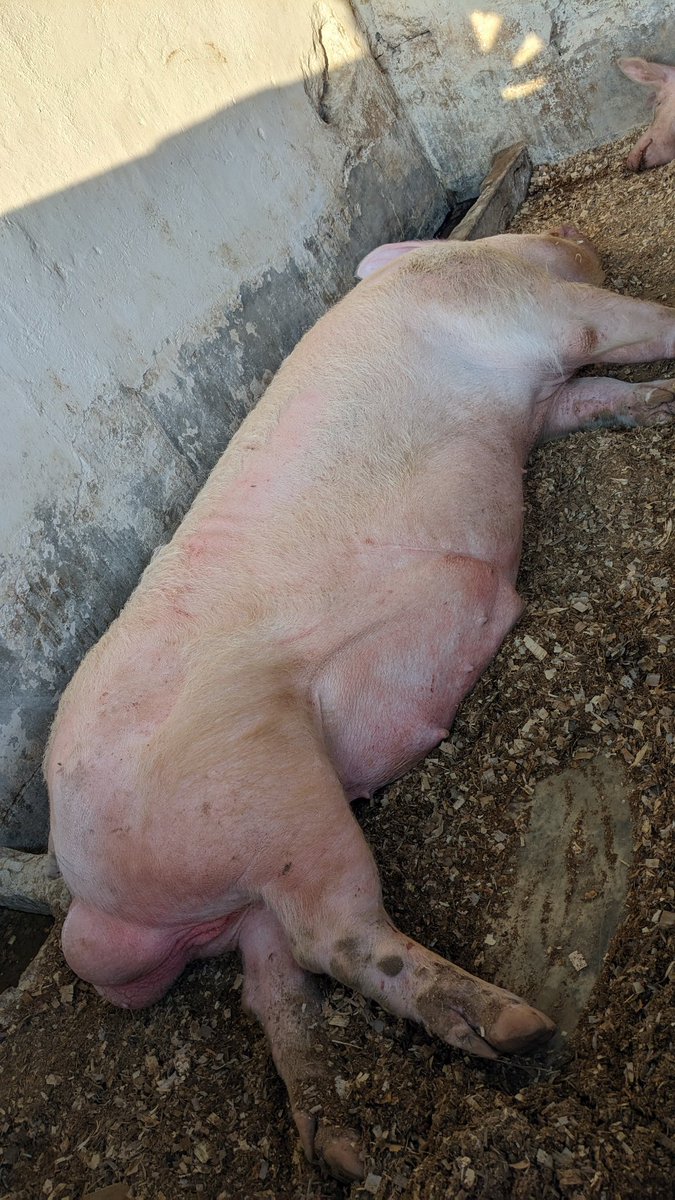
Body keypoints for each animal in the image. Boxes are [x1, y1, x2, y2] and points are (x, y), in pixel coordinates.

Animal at [45, 226, 675, 1181]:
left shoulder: (547, 404)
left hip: (255, 883)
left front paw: (660, 404)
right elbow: (632, 328)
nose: (575, 240)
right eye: (553, 246)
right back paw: (519, 1029)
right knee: (334, 938)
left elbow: (601, 396)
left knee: (276, 991)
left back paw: (341, 1147)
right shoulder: (540, 314)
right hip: (269, 790)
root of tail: (86, 896)